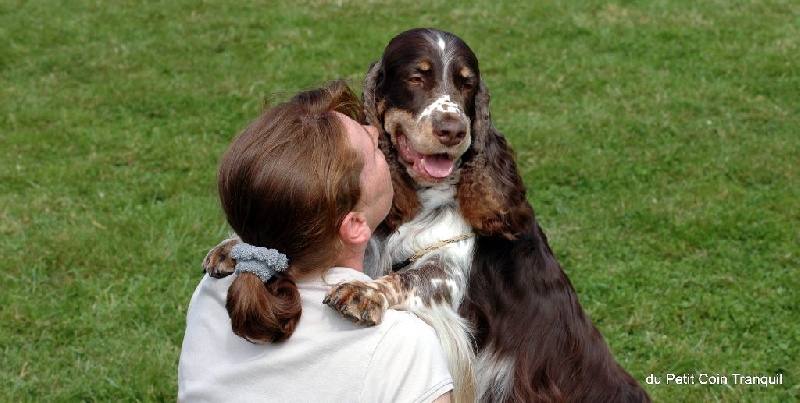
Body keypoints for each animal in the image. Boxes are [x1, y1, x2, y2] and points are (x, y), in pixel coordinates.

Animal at [205, 28, 648, 403]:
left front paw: (364, 292)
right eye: (417, 78)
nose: (452, 129)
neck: (421, 196)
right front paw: (234, 246)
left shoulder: (449, 275)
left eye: (467, 83)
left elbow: (411, 276)